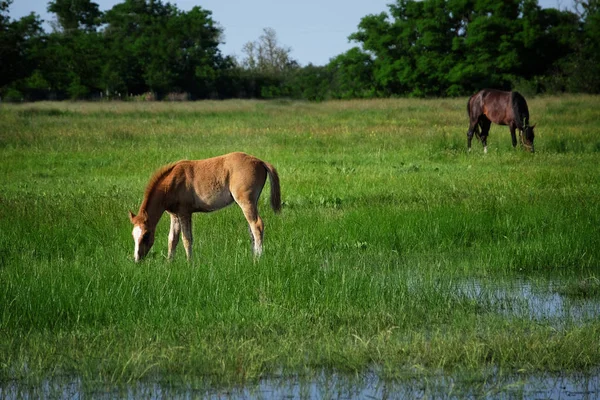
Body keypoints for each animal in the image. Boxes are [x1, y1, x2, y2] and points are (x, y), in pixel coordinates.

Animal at [128, 151, 282, 262]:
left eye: (146, 234)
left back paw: (258, 258)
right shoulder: (174, 215)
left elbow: (186, 239)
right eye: (133, 235)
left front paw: (190, 263)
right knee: (252, 228)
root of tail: (260, 161)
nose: (137, 259)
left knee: (257, 225)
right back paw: (253, 255)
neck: (171, 183)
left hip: (246, 202)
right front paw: (169, 263)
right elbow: (172, 239)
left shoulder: (184, 213)